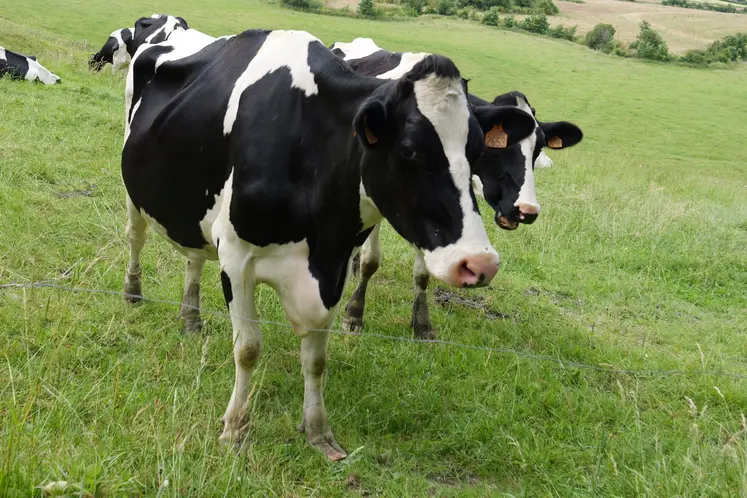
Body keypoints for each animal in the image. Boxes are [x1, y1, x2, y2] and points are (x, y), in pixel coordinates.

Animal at [121, 29, 536, 462]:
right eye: (409, 149)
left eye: (477, 151)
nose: (479, 263)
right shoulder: (236, 256)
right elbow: (248, 348)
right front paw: (235, 429)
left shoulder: (335, 264)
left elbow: (317, 359)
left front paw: (317, 431)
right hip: (134, 191)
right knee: (136, 236)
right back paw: (133, 291)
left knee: (194, 257)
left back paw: (191, 317)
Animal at [332, 38, 584, 338]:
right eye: (497, 147)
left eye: (538, 149)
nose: (527, 209)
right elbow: (371, 261)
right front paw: (354, 313)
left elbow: (422, 272)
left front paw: (422, 324)